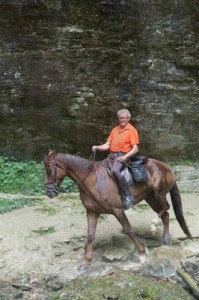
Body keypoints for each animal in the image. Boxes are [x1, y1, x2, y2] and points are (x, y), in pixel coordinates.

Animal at [43, 150, 191, 270]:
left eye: (50, 170)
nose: (49, 192)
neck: (94, 181)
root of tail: (167, 167)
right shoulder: (91, 212)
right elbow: (90, 235)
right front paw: (86, 261)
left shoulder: (117, 210)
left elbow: (129, 230)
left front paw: (141, 254)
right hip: (150, 197)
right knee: (165, 214)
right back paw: (166, 239)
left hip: (158, 194)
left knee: (166, 208)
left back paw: (154, 225)